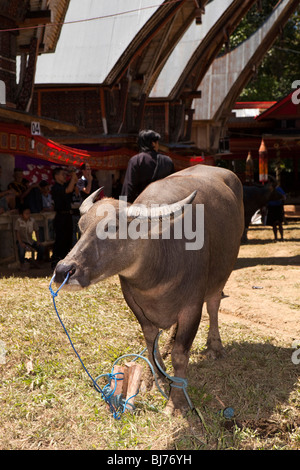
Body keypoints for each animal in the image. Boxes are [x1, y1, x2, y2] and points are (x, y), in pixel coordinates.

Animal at [53, 165, 244, 414]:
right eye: (80, 227)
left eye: (112, 228)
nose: (63, 270)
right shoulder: (135, 305)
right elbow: (150, 343)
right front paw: (156, 379)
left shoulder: (192, 307)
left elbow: (180, 355)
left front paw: (176, 402)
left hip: (223, 273)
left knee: (213, 306)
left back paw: (215, 346)